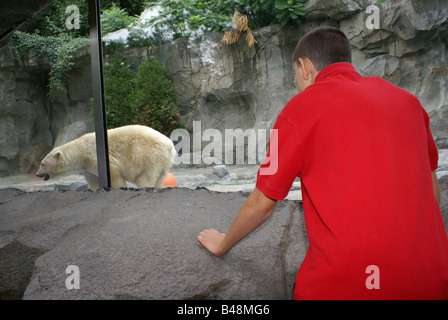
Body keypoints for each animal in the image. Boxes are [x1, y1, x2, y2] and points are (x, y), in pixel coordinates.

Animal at [36, 125, 176, 190]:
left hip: (150, 157)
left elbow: (115, 176)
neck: (80, 152)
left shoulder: (94, 157)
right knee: (160, 177)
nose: (37, 174)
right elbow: (93, 181)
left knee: (145, 178)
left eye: (42, 164)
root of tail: (170, 146)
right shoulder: (87, 169)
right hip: (163, 162)